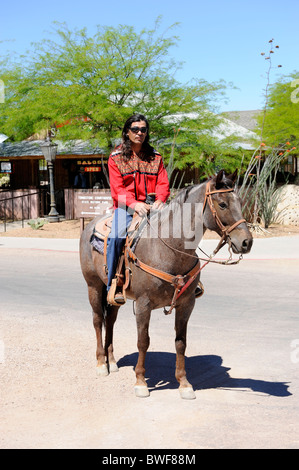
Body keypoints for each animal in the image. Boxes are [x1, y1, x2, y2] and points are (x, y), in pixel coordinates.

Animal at [79, 171, 253, 398]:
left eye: (240, 202)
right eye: (222, 204)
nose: (247, 242)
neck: (168, 247)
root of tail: (91, 224)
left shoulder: (186, 304)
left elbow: (181, 342)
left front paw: (184, 383)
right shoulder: (143, 304)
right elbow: (143, 341)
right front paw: (140, 382)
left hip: (115, 295)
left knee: (110, 320)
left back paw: (112, 361)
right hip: (94, 286)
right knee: (98, 319)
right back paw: (101, 363)